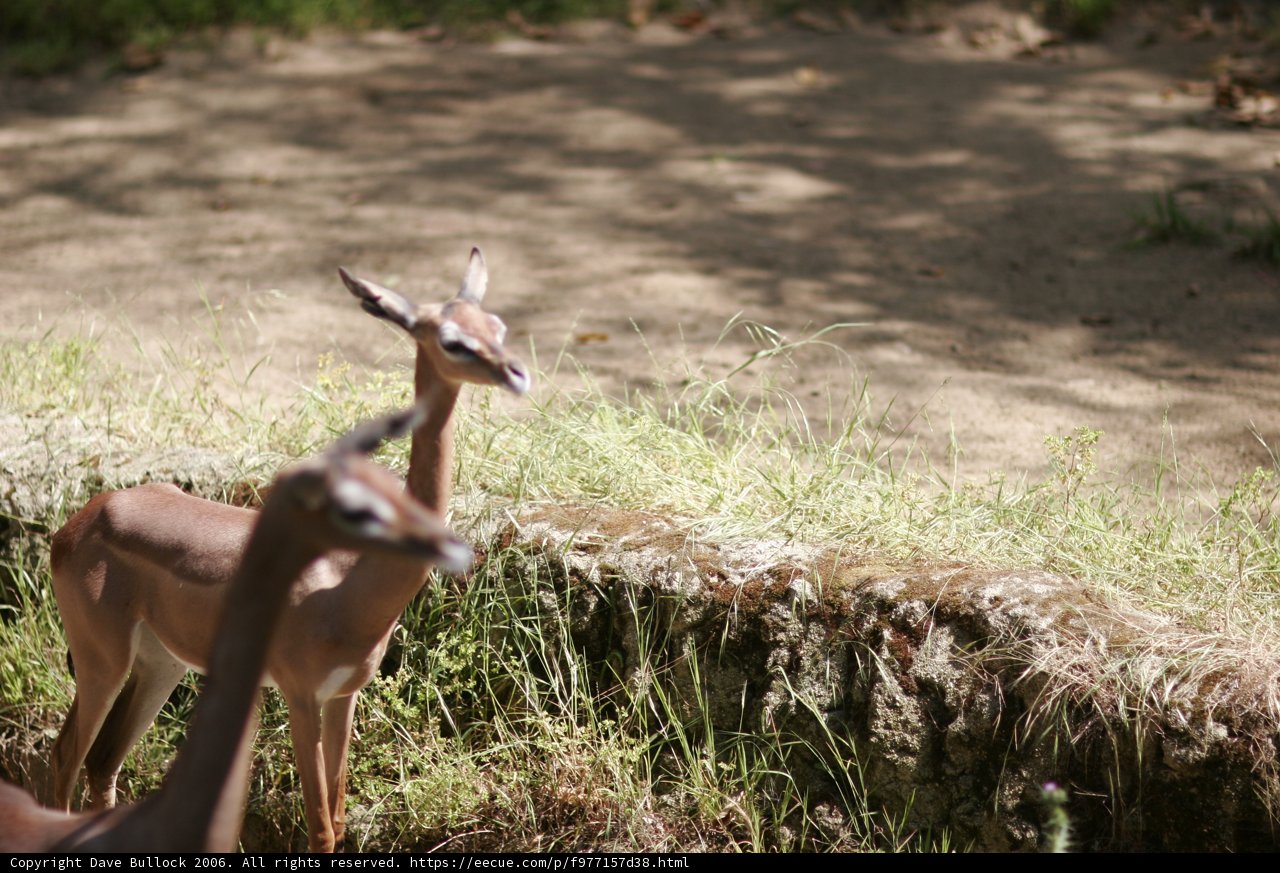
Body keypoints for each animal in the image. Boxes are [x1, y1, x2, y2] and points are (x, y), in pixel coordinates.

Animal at [2, 405, 472, 852]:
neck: (345, 586)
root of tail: (80, 521)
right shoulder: (302, 695)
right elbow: (321, 827)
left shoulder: (344, 695)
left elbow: (336, 820)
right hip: (103, 665)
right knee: (65, 756)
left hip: (160, 667)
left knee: (102, 762)